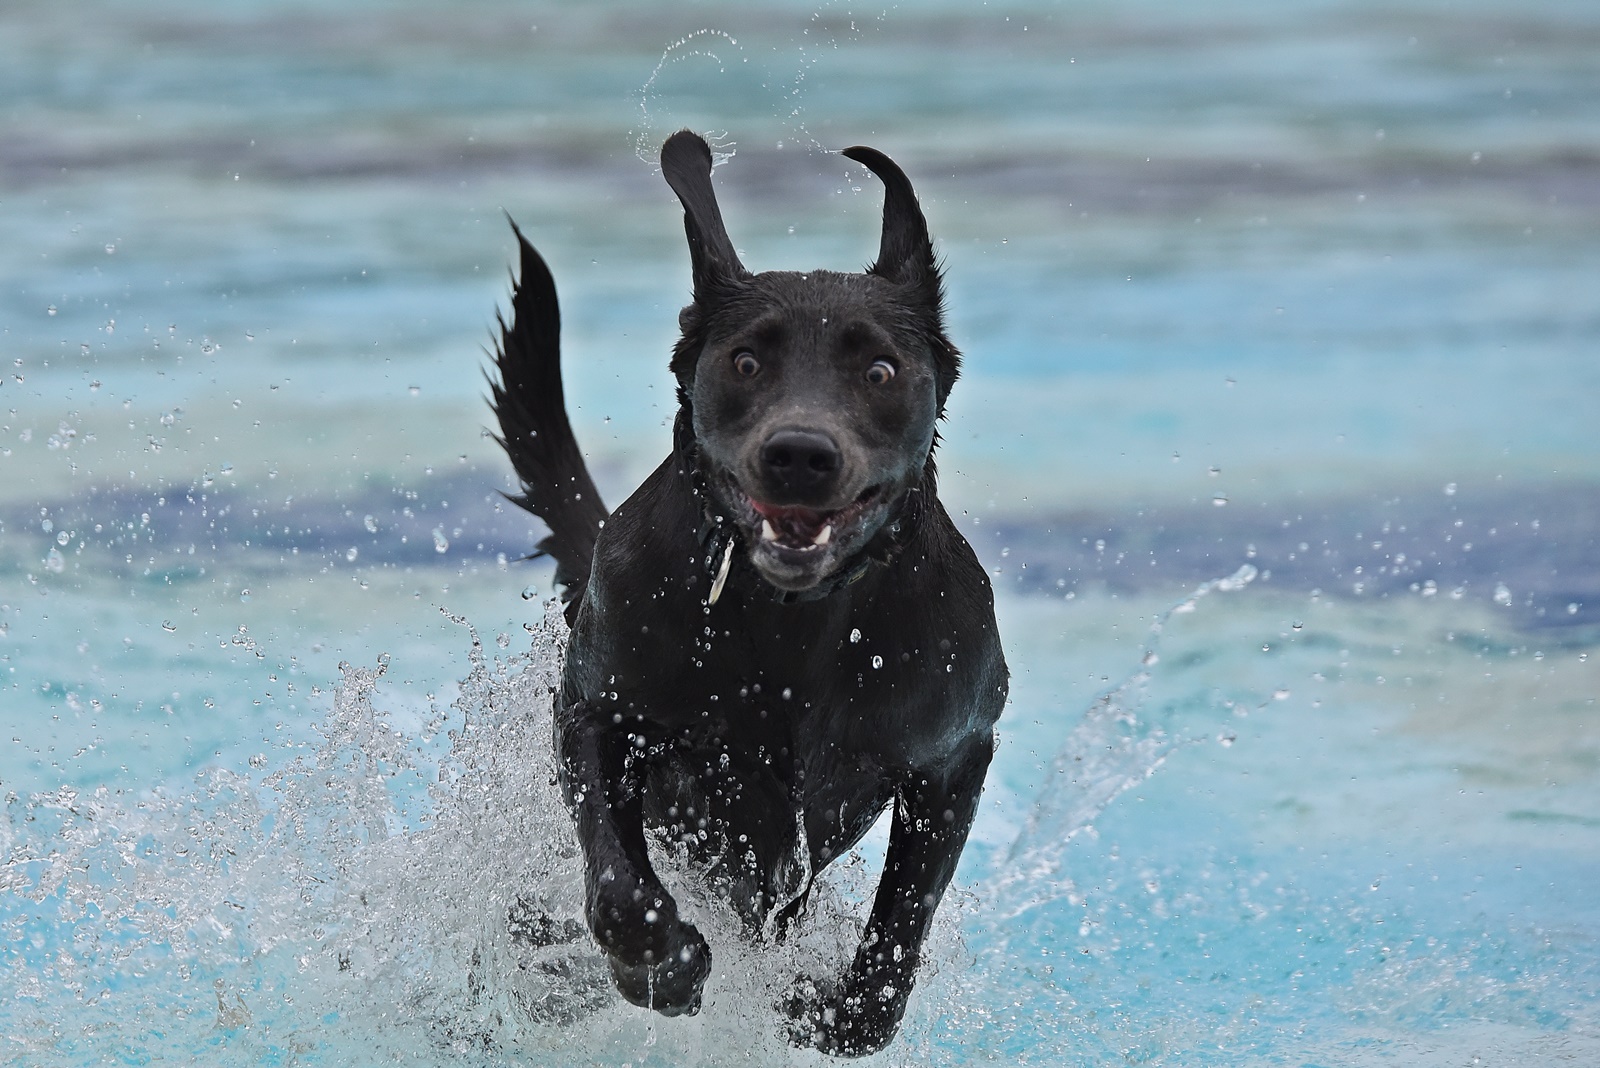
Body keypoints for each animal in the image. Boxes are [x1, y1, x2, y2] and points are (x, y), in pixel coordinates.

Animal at [492, 131, 1004, 1048]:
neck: (794, 621)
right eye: (746, 360)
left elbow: (900, 928)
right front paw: (663, 963)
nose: (800, 453)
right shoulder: (595, 709)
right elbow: (615, 881)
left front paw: (835, 1009)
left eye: (880, 370)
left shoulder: (955, 757)